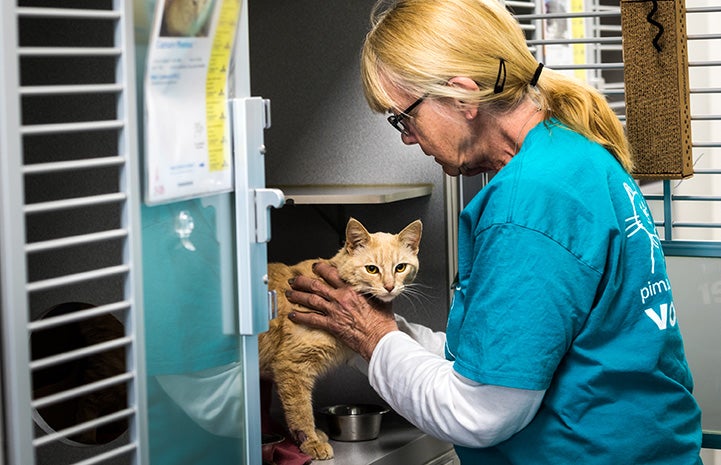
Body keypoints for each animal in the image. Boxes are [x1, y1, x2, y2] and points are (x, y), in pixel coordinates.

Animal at [260, 217, 422, 456]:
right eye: (372, 269)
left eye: (400, 267)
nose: (389, 287)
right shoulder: (291, 366)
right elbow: (300, 410)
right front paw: (310, 441)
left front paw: (313, 436)